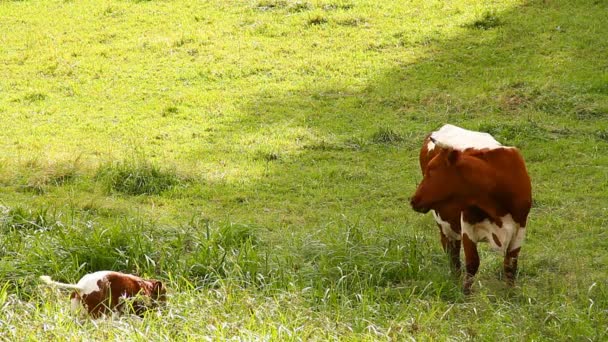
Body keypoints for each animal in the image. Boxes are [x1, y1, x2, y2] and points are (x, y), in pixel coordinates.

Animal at [408, 124, 532, 292]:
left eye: (431, 170)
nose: (413, 200)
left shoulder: (520, 227)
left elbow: (510, 266)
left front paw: (510, 294)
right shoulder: (467, 226)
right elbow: (472, 263)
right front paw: (465, 292)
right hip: (443, 223)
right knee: (452, 253)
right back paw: (454, 280)